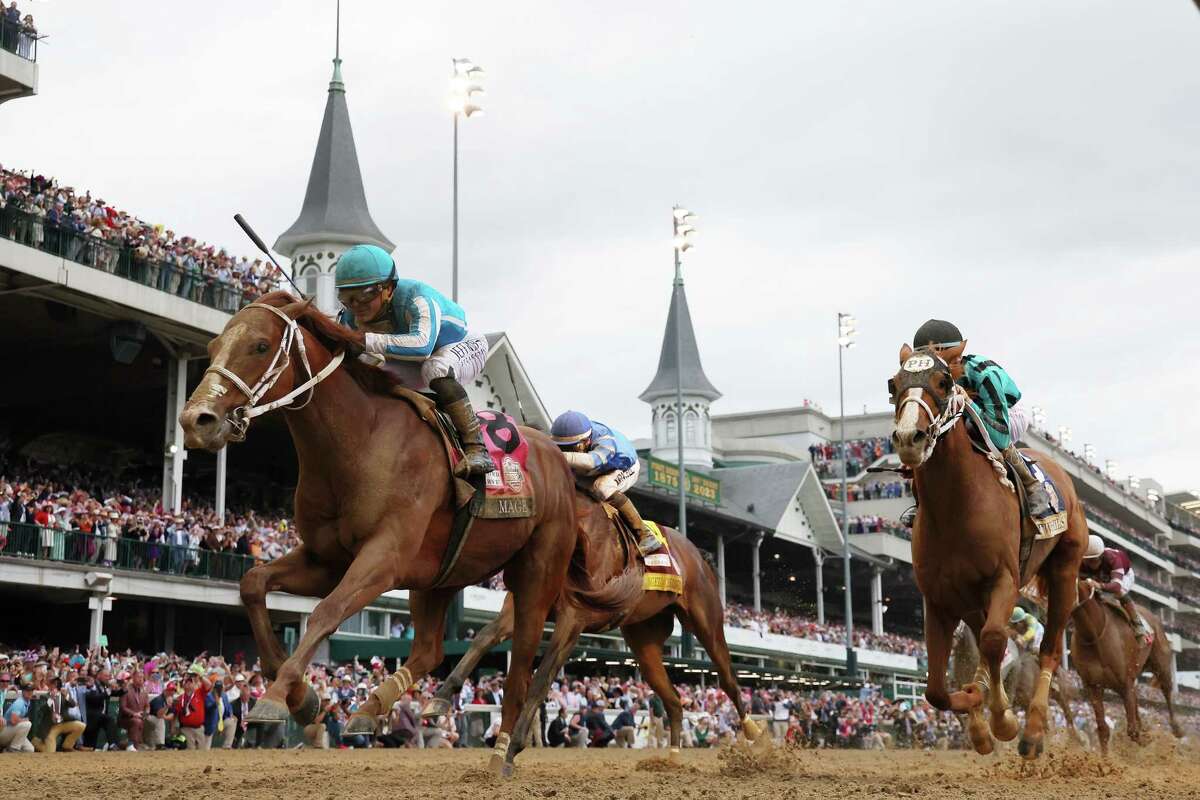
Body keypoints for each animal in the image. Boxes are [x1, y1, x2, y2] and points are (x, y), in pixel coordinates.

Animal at [177, 292, 633, 762]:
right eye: (212, 347)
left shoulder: (385, 559)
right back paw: (380, 707)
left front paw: (277, 696)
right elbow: (253, 584)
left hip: (536, 572)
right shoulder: (326, 560)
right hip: (441, 575)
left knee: (524, 655)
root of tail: (560, 461)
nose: (196, 420)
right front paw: (302, 698)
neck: (360, 443)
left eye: (261, 346)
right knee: (431, 649)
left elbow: (327, 611)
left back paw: (502, 745)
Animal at [417, 494, 763, 777]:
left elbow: (542, 677)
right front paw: (440, 697)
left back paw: (757, 739)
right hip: (644, 640)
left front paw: (512, 749)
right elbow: (484, 637)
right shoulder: (523, 605)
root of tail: (698, 555)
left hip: (706, 620)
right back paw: (672, 760)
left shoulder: (573, 617)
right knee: (674, 701)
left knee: (729, 681)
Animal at [888, 343, 1094, 758]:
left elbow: (997, 641)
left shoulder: (1004, 580)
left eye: (943, 381)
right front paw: (977, 712)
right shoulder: (939, 598)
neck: (955, 507)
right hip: (971, 601)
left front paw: (1003, 721)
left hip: (1064, 571)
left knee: (1048, 649)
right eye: (893, 384)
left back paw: (1032, 731)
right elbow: (936, 690)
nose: (908, 438)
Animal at [1070, 578, 1180, 753]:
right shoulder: (1093, 686)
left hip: (1160, 664)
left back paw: (1176, 729)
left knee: (1167, 690)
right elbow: (1103, 730)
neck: (1094, 633)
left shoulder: (1125, 683)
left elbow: (1132, 731)